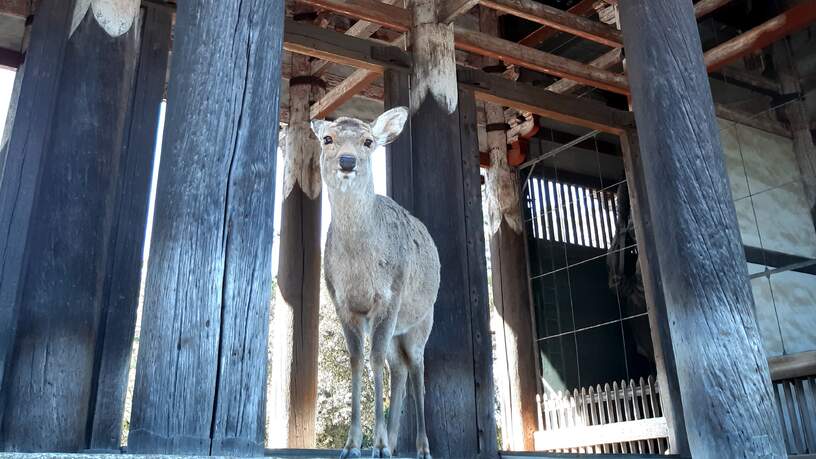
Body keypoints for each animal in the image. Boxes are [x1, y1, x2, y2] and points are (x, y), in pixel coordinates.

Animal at [312, 108, 440, 459]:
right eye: (327, 138)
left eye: (368, 141)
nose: (347, 161)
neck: (359, 267)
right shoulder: (341, 302)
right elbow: (358, 360)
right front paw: (353, 445)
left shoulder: (389, 295)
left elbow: (375, 359)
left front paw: (377, 444)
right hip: (399, 331)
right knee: (399, 368)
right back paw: (394, 442)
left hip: (421, 321)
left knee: (417, 370)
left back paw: (421, 448)